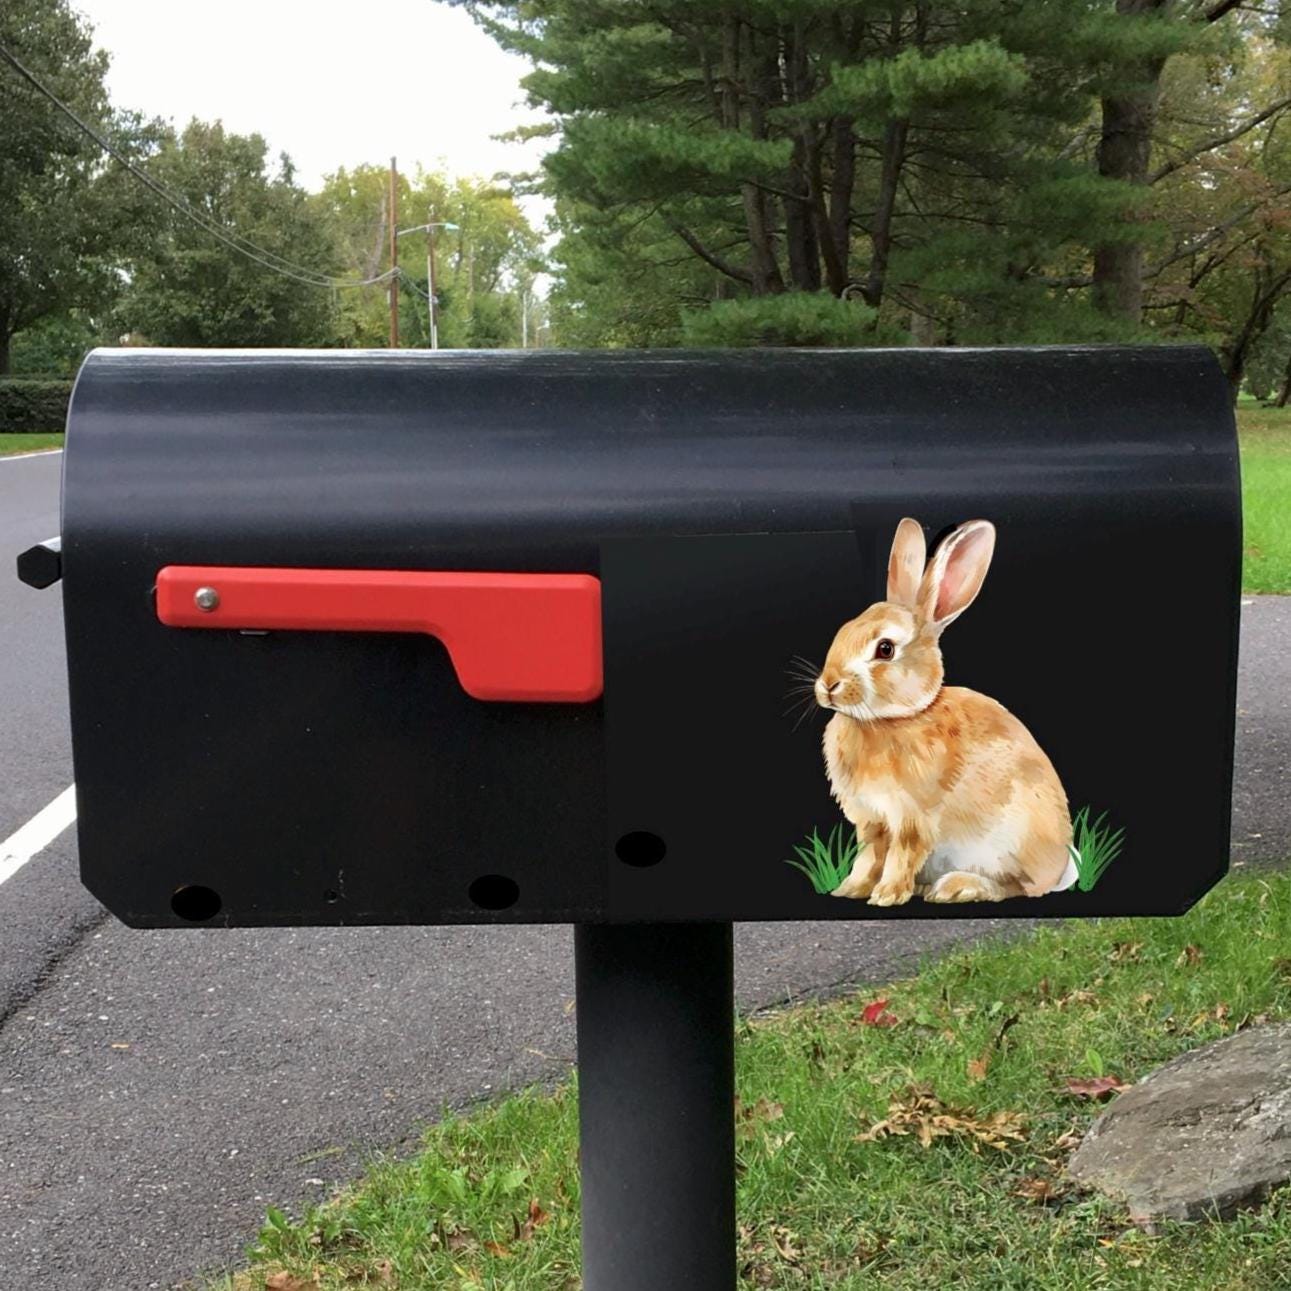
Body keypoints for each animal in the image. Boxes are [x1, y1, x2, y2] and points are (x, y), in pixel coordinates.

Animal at [816, 517, 1077, 906]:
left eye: (885, 648)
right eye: (844, 630)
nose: (828, 685)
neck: (892, 719)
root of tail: (1061, 866)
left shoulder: (912, 818)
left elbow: (900, 855)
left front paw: (887, 896)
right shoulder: (871, 820)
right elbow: (869, 856)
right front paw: (848, 890)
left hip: (1011, 840)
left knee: (1017, 887)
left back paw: (956, 888)